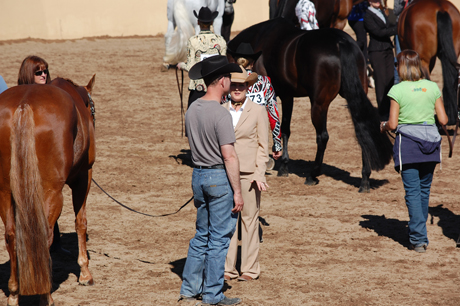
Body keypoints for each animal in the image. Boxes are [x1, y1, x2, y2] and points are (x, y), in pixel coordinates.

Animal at [0, 76, 96, 306]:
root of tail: (23, 105)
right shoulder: (84, 176)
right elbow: (81, 222)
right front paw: (85, 273)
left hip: (5, 190)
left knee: (11, 236)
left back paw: (14, 293)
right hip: (51, 191)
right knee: (43, 235)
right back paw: (46, 295)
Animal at [229, 18, 392, 191]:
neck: (261, 39)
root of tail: (341, 42)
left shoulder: (276, 96)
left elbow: (277, 129)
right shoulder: (288, 96)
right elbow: (285, 129)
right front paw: (283, 165)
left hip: (319, 104)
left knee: (323, 137)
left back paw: (312, 175)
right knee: (363, 128)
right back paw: (365, 179)